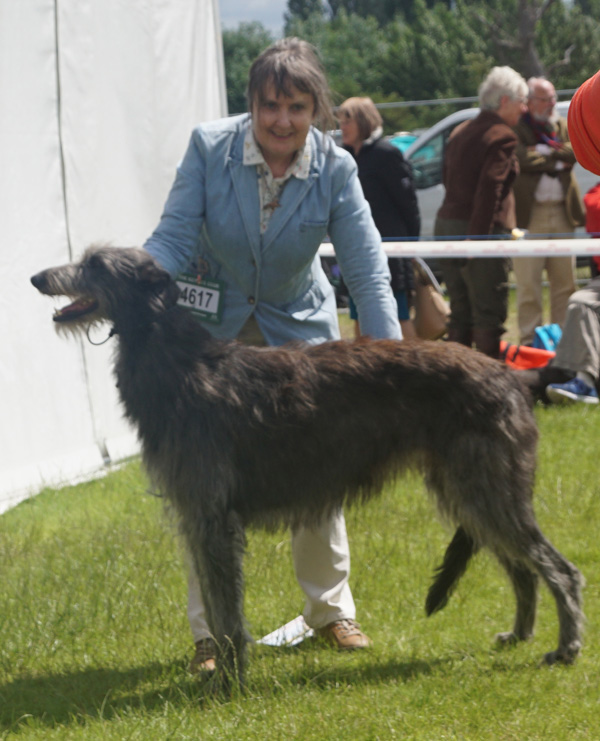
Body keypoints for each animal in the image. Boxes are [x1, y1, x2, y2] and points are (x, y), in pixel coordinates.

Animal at [30, 246, 584, 684]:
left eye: (95, 264)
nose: (38, 278)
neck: (181, 366)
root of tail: (510, 377)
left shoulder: (213, 519)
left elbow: (228, 613)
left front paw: (229, 683)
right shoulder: (198, 518)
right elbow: (216, 607)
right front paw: (221, 674)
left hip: (485, 487)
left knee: (560, 570)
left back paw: (566, 647)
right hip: (470, 491)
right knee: (523, 568)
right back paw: (520, 633)